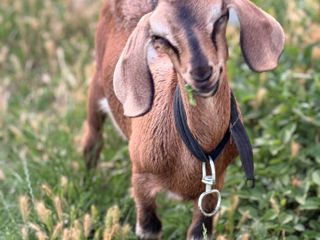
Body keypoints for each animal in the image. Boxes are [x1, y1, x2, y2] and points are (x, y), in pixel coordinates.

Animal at [83, 0, 284, 238]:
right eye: (160, 37)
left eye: (220, 17)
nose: (202, 72)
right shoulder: (141, 179)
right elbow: (150, 226)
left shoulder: (214, 187)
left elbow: (199, 230)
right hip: (96, 86)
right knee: (92, 139)